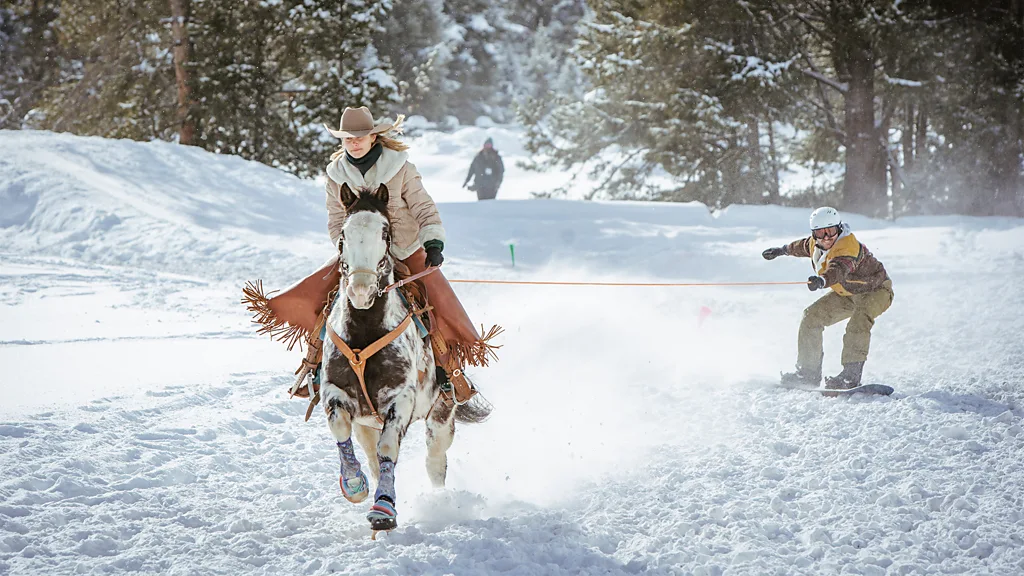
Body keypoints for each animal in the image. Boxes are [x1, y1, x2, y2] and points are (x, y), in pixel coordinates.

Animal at [320, 182, 491, 533]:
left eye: (385, 233)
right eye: (343, 234)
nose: (360, 290)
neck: (365, 331)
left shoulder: (401, 398)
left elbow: (389, 448)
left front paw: (383, 510)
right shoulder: (335, 391)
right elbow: (341, 428)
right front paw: (354, 486)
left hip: (441, 416)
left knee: (434, 461)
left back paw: (439, 502)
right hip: (367, 423)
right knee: (372, 457)